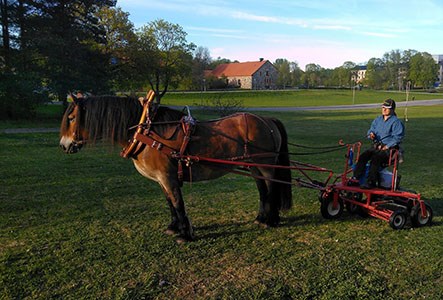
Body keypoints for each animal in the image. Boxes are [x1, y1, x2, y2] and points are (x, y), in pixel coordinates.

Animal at [59, 95, 294, 243]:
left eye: (71, 118)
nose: (63, 145)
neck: (148, 132)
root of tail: (266, 120)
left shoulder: (168, 176)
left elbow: (178, 203)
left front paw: (185, 234)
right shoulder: (162, 178)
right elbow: (170, 203)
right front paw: (173, 227)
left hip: (265, 166)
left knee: (272, 189)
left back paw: (271, 220)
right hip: (254, 167)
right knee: (263, 191)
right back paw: (261, 218)